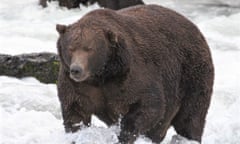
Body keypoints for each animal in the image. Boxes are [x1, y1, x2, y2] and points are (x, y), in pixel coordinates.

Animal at [55, 4, 214, 143]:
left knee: (190, 117)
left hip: (192, 74)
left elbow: (150, 105)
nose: (76, 69)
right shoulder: (78, 86)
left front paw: (125, 134)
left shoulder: (129, 76)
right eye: (70, 48)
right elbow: (76, 111)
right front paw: (76, 133)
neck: (102, 74)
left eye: (89, 49)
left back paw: (189, 137)